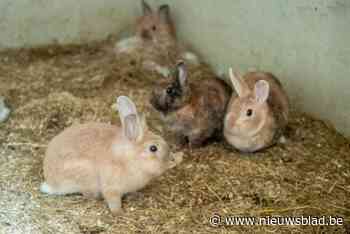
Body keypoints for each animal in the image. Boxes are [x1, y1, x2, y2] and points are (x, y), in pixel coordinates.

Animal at [40, 95, 183, 214]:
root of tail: (51, 183)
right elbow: (113, 201)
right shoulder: (112, 188)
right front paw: (119, 212)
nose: (172, 160)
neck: (131, 159)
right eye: (153, 148)